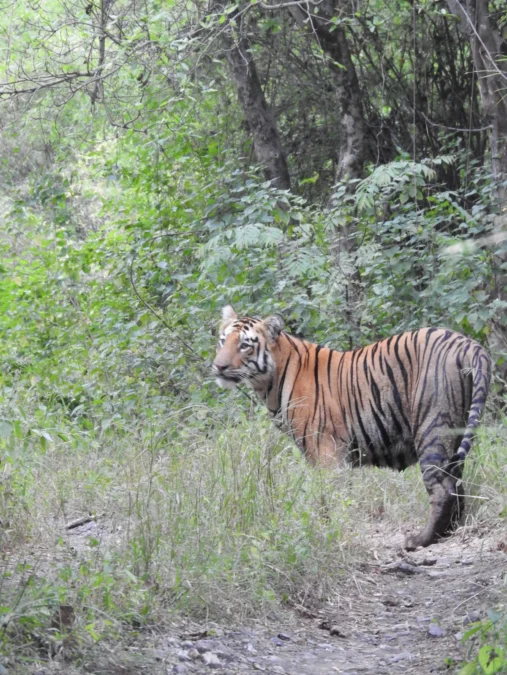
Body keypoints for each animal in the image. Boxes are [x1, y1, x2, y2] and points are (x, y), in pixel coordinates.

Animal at [212, 305, 491, 550]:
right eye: (223, 341)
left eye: (245, 344)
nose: (218, 366)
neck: (270, 383)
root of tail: (467, 343)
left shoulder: (327, 453)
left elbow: (329, 498)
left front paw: (328, 533)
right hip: (455, 432)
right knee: (456, 481)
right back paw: (450, 531)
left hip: (432, 426)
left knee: (443, 488)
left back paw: (422, 539)